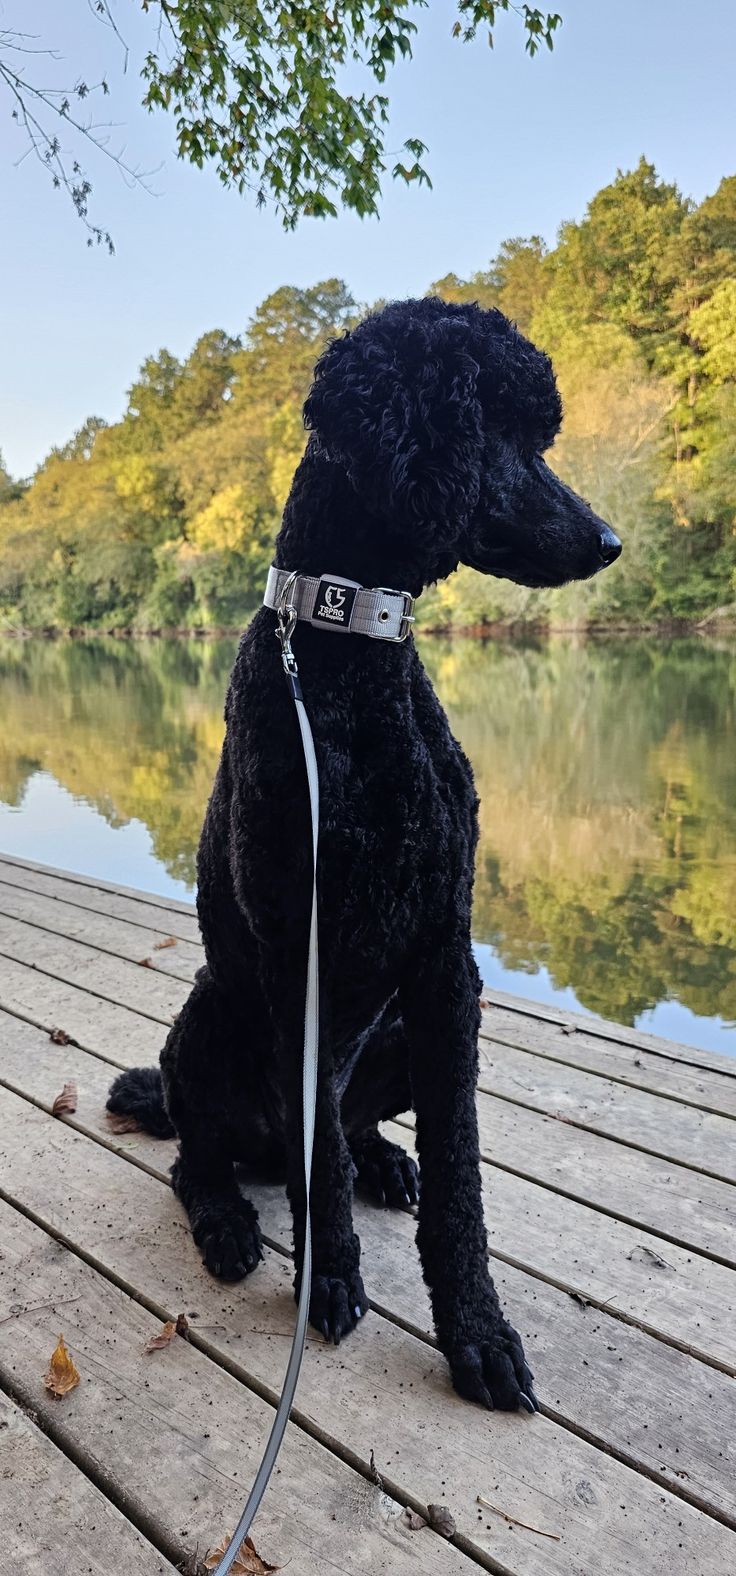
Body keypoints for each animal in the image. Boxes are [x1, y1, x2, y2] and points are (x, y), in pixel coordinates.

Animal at [106, 296, 620, 1418]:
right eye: (493, 425)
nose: (609, 540)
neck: (343, 658)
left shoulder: (445, 964)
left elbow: (460, 1182)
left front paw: (477, 1333)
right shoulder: (296, 955)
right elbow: (320, 1164)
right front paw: (332, 1271)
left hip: (384, 1041)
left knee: (348, 1127)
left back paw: (386, 1163)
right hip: (213, 1017)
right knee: (206, 1156)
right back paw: (231, 1222)